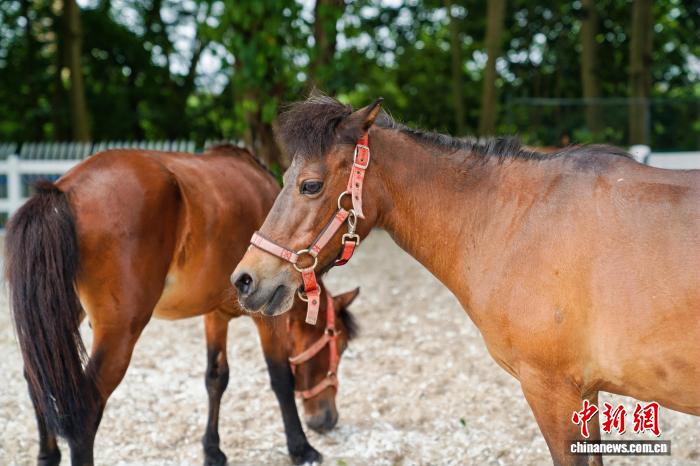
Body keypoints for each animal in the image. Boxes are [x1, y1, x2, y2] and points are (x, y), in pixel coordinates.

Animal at [5, 145, 359, 466]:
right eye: (340, 345)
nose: (327, 419)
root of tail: (63, 190)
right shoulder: (268, 317)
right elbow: (281, 378)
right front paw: (301, 448)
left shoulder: (215, 315)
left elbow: (216, 378)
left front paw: (212, 450)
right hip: (119, 332)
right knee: (85, 409)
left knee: (38, 380)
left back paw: (47, 456)